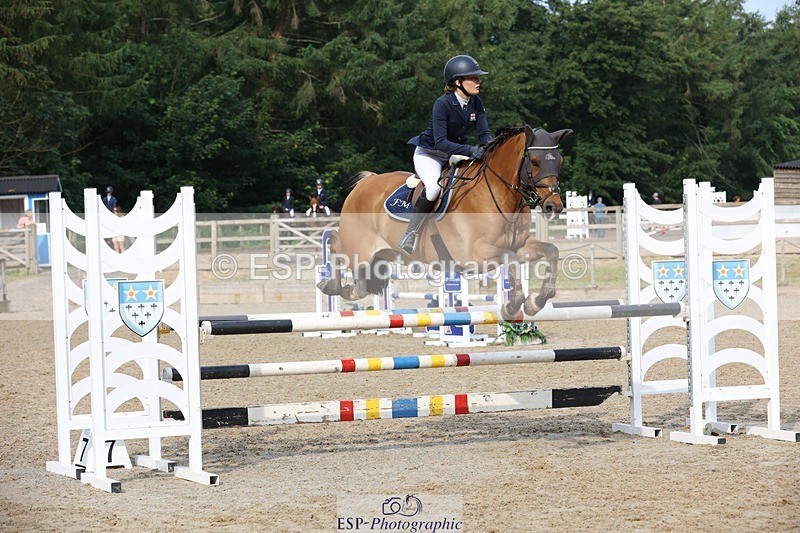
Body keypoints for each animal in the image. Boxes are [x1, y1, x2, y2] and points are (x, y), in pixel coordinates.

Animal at [317, 125, 571, 317]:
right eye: (535, 161)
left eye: (559, 161)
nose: (554, 206)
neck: (499, 194)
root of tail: (365, 182)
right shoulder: (475, 256)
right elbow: (510, 260)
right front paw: (513, 305)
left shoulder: (519, 245)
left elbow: (551, 251)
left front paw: (536, 302)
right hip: (358, 247)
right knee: (335, 244)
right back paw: (329, 284)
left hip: (383, 254)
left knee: (360, 278)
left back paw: (349, 290)